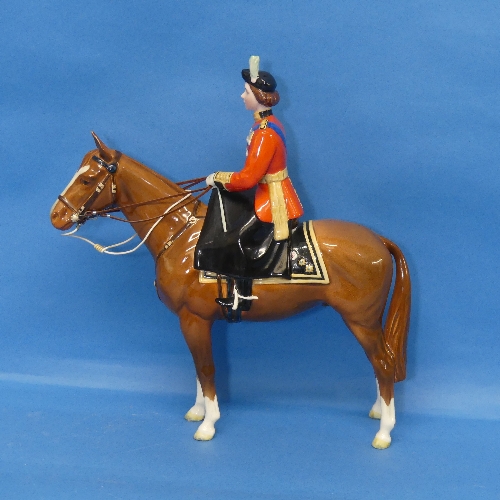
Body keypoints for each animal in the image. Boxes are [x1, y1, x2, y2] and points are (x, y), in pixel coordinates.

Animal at [49, 134, 410, 450]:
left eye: (87, 180)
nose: (56, 216)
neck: (182, 236)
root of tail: (378, 240)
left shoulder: (193, 319)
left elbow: (207, 369)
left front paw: (208, 424)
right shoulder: (196, 321)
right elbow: (199, 368)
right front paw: (198, 412)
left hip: (361, 320)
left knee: (382, 363)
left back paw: (385, 431)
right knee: (380, 364)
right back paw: (379, 412)